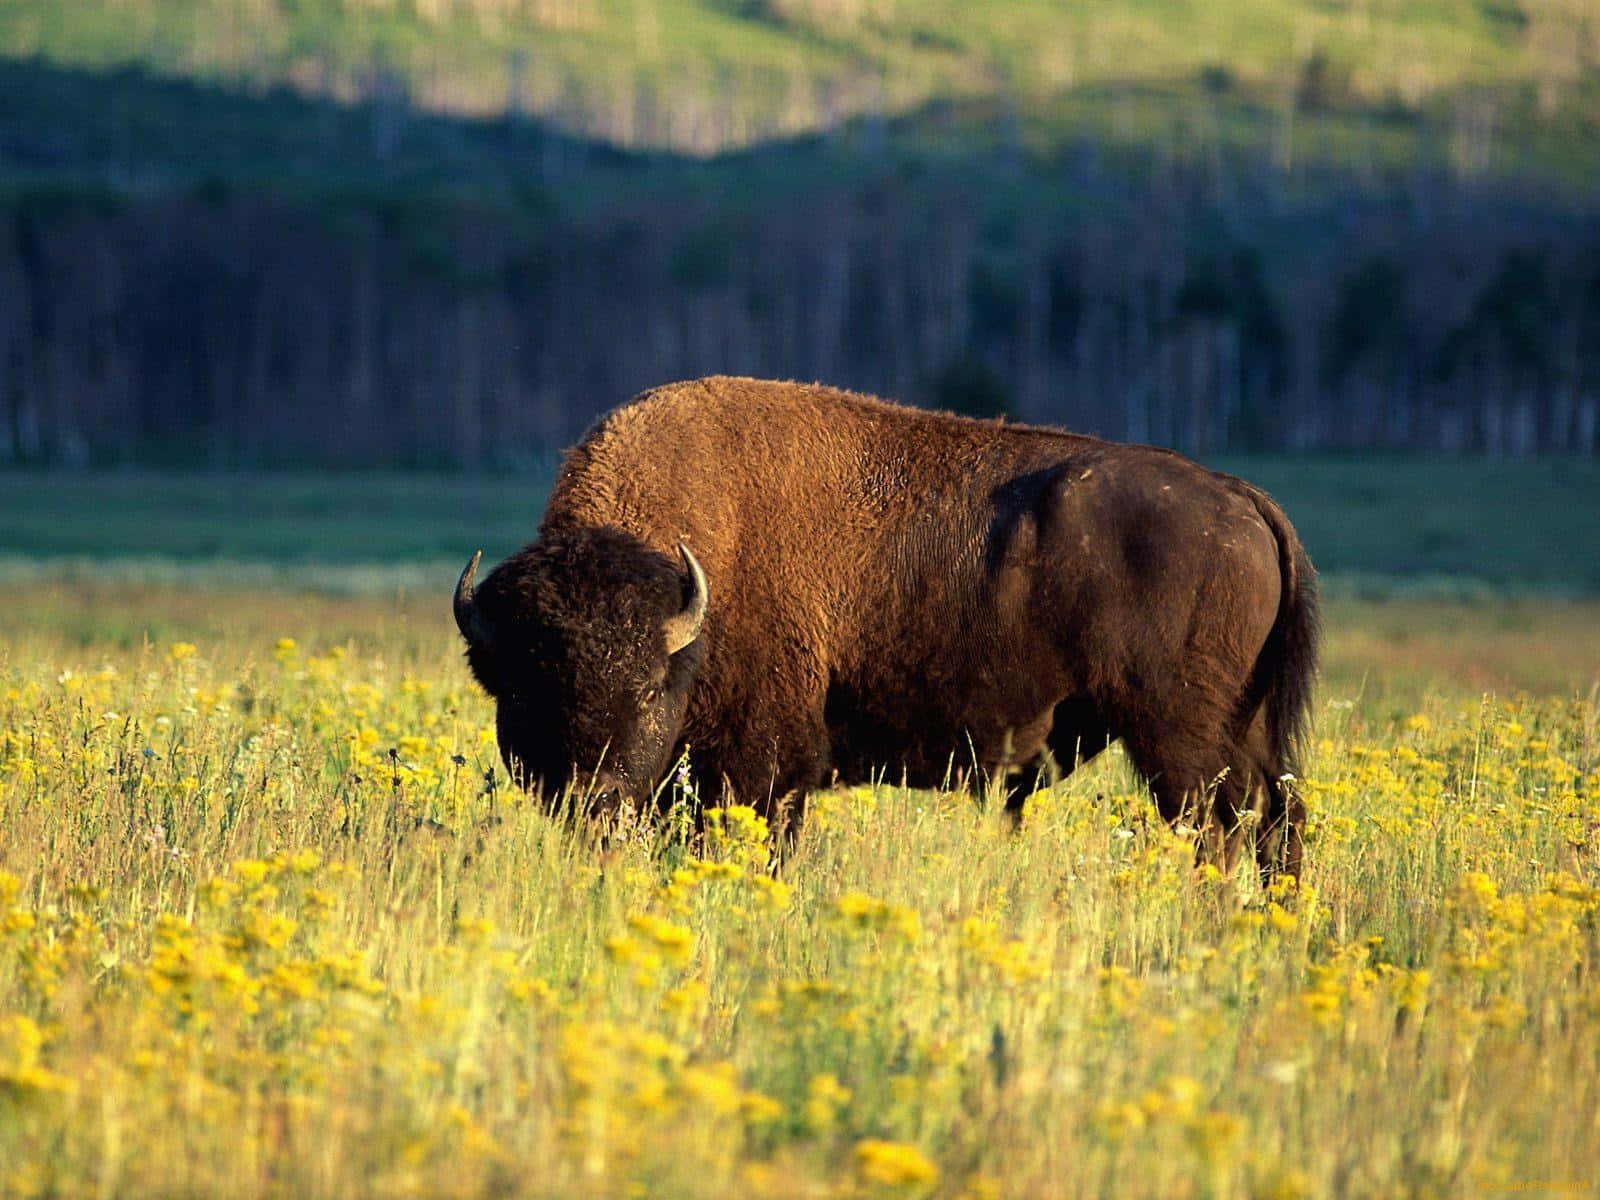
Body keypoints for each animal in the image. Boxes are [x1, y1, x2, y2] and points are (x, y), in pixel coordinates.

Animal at [457, 380, 1318, 876]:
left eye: (644, 689)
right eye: (526, 689)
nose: (591, 798)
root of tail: (1239, 497)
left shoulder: (763, 770)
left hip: (1179, 735)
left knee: (1219, 826)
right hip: (1242, 728)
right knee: (1275, 820)